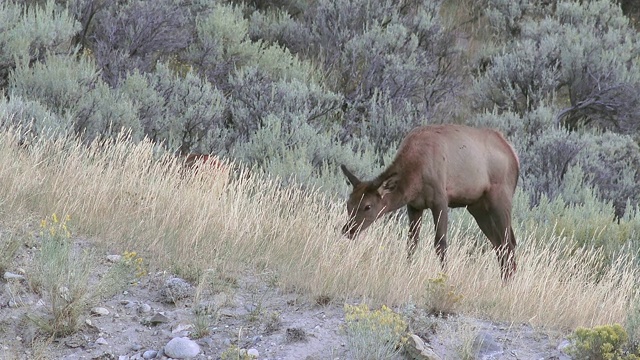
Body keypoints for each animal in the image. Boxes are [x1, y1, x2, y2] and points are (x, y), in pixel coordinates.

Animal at [340, 125, 520, 280]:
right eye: (348, 204)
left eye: (367, 206)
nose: (348, 230)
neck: (415, 178)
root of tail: (514, 155)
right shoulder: (414, 205)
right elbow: (411, 242)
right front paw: (407, 270)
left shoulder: (440, 200)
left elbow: (440, 243)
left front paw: (444, 276)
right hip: (478, 207)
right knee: (499, 244)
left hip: (500, 198)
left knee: (508, 243)